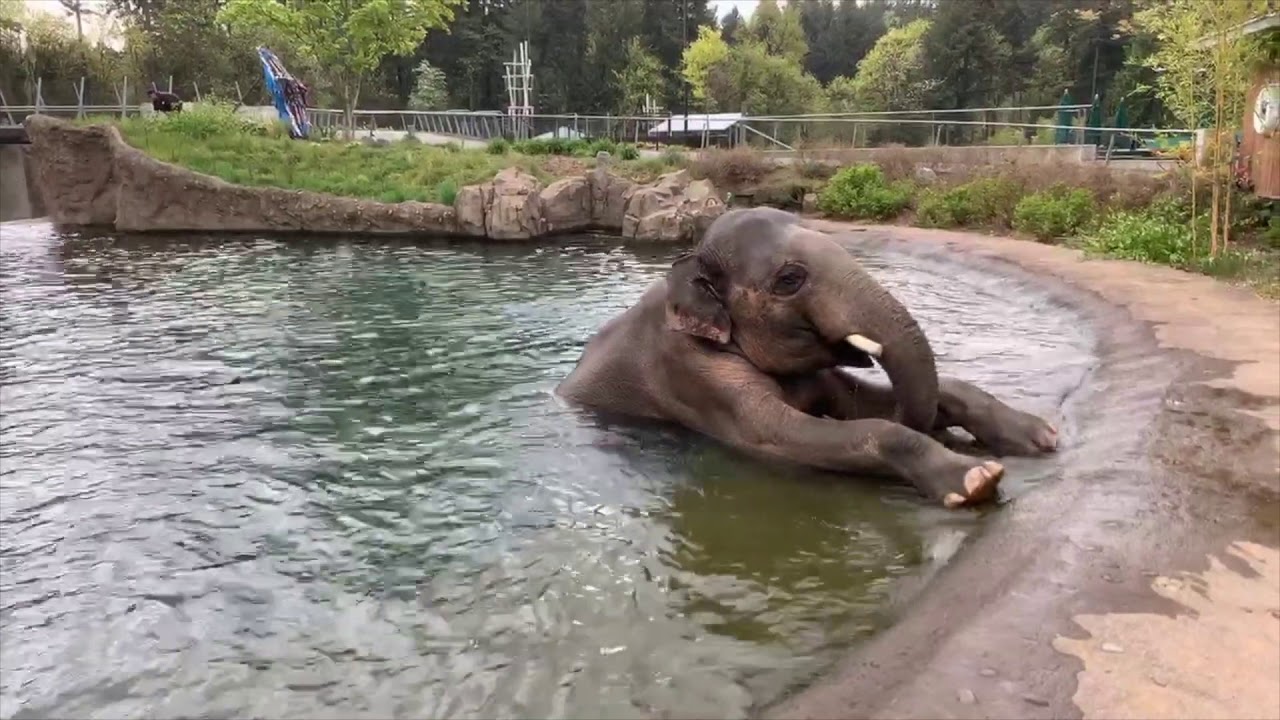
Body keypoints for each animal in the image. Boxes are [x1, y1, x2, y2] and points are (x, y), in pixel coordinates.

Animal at [556, 207, 1058, 508]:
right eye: (789, 280)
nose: (934, 427)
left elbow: (858, 403)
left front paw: (1041, 436)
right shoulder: (692, 369)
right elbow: (777, 435)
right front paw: (978, 479)